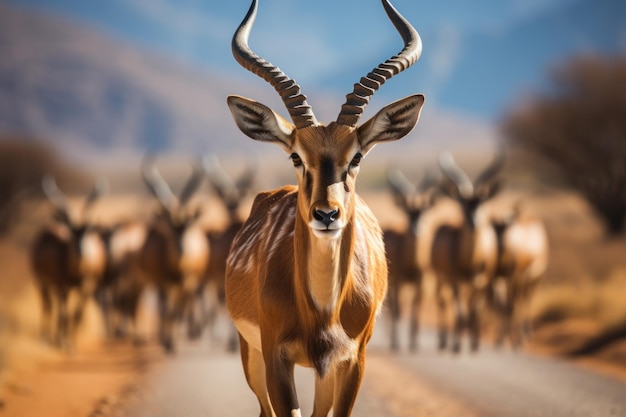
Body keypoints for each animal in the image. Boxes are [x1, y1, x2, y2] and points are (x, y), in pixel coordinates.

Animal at [29, 174, 107, 350]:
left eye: (87, 231)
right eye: (71, 232)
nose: (81, 251)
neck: (76, 274)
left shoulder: (86, 287)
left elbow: (76, 314)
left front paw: (71, 343)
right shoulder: (62, 287)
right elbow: (63, 314)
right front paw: (63, 343)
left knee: (58, 309)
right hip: (42, 282)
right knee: (48, 306)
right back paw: (46, 337)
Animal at [223, 0, 424, 412]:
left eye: (357, 156)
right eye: (296, 156)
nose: (327, 214)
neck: (323, 313)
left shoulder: (352, 361)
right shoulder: (275, 358)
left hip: (323, 373)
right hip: (252, 357)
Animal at [380, 167, 434, 350]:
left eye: (422, 212)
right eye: (408, 212)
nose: (416, 229)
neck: (412, 265)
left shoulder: (420, 284)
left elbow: (415, 311)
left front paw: (414, 344)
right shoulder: (396, 283)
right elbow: (397, 311)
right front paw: (396, 343)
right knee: (392, 308)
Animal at [428, 150, 502, 352]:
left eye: (482, 202)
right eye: (462, 203)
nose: (473, 221)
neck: (470, 261)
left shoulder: (481, 282)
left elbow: (473, 312)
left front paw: (474, 345)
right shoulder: (454, 282)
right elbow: (460, 314)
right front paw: (456, 347)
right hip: (441, 279)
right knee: (442, 303)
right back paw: (444, 341)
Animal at [488, 202, 544, 348]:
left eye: (506, 227)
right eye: (493, 228)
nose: (500, 246)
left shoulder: (513, 277)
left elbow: (510, 305)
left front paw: (511, 340)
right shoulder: (497, 279)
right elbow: (500, 306)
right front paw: (500, 338)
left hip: (534, 279)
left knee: (525, 301)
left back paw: (525, 336)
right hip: (522, 282)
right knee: (521, 300)